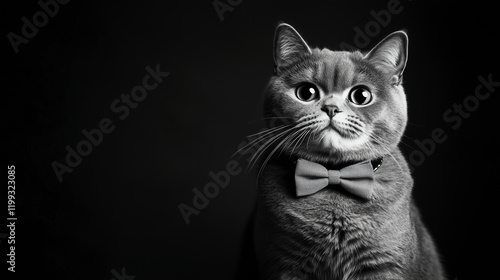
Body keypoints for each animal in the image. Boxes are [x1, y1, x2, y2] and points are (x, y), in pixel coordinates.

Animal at [248, 24, 448, 280]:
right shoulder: (283, 264)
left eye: (361, 96)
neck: (334, 175)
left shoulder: (384, 265)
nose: (331, 108)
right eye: (306, 92)